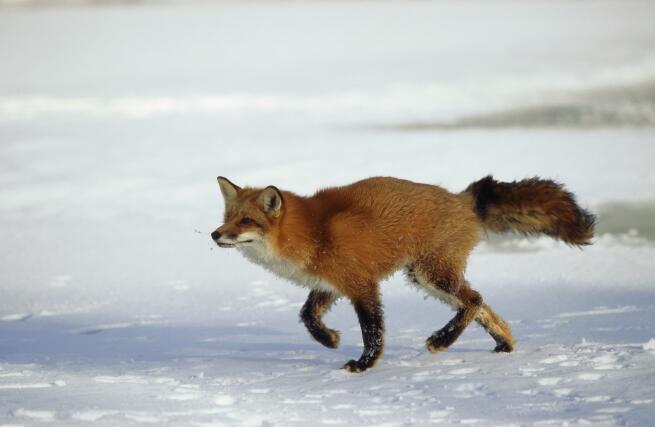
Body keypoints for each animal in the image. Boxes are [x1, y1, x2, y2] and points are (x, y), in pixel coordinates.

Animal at [213, 176, 596, 372]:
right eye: (227, 217)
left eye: (246, 221)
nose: (216, 235)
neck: (314, 231)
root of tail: (462, 199)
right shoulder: (331, 283)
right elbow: (307, 315)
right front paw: (329, 339)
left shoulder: (362, 285)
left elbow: (373, 332)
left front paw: (364, 364)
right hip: (426, 278)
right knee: (484, 307)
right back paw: (504, 344)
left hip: (432, 275)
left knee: (474, 301)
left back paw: (442, 339)